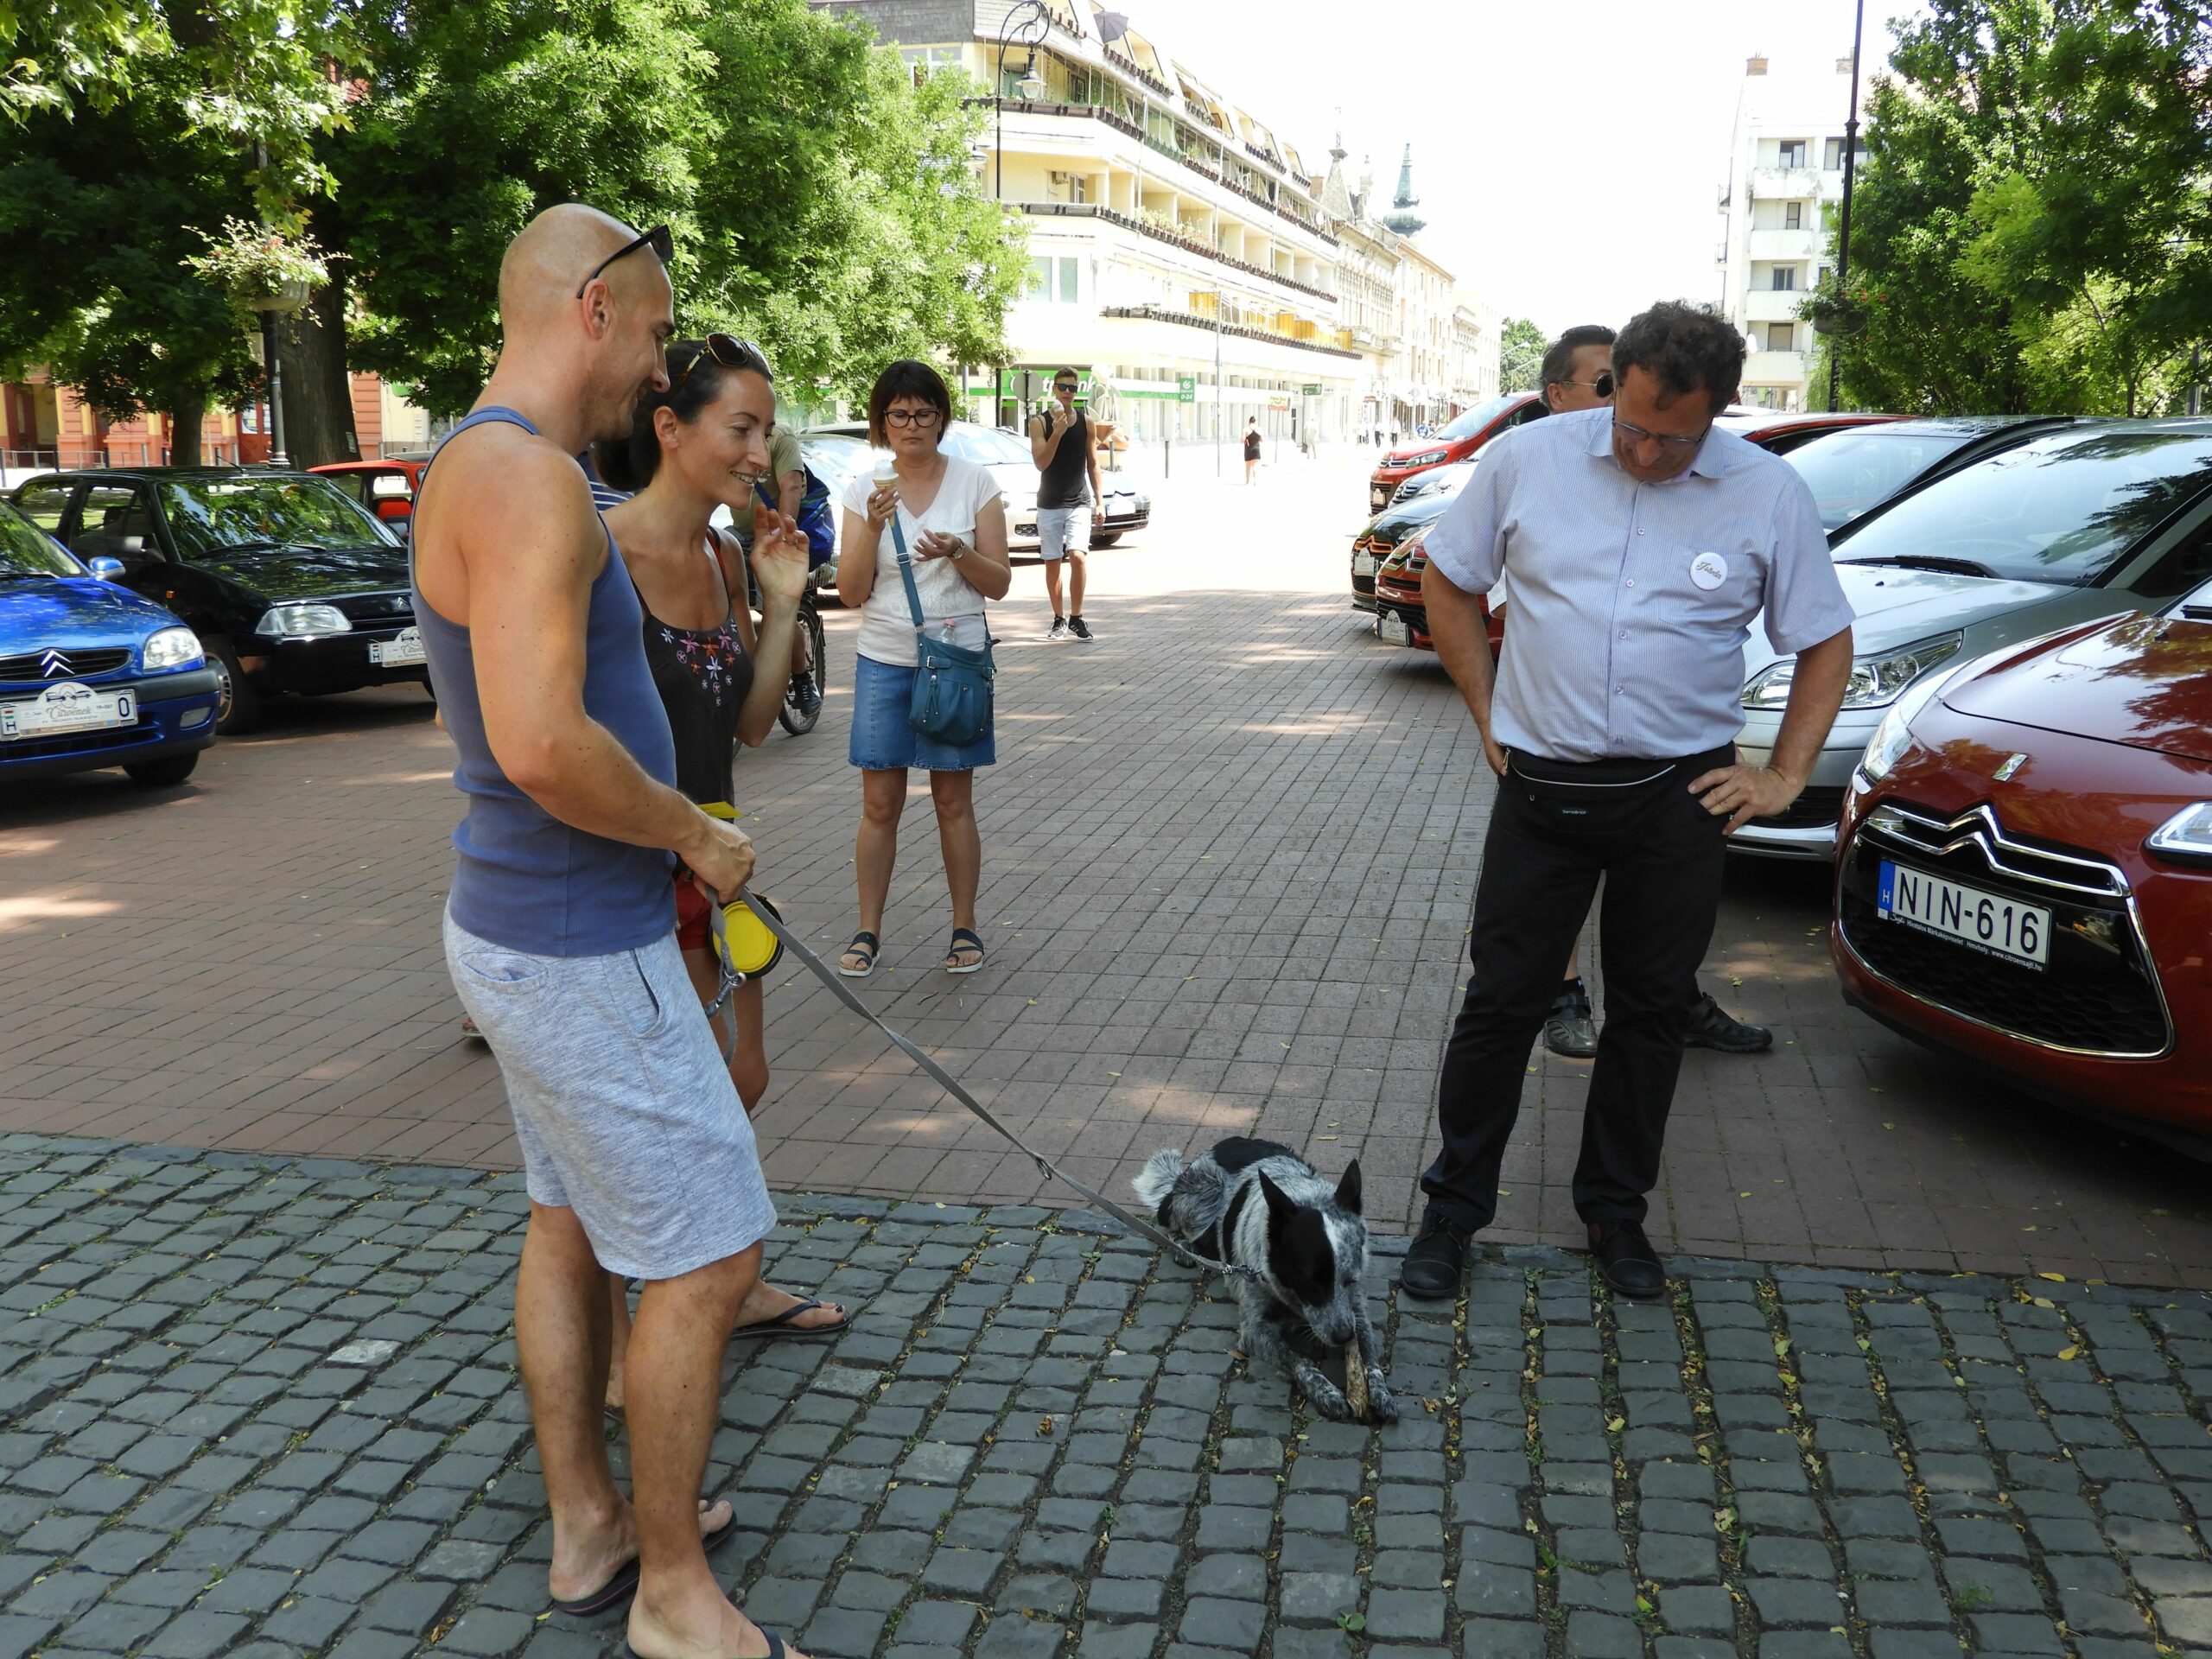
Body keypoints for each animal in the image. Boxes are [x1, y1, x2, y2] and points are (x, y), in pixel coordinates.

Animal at [1132, 1141, 1389, 1433]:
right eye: (1312, 1286)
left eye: (1351, 1280)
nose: (1344, 1337)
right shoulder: (1255, 1330)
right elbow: (1298, 1360)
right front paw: (1326, 1392)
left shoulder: (1356, 1312)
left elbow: (1369, 1353)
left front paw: (1380, 1392)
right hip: (1203, 1194)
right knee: (1175, 1226)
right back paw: (1185, 1248)